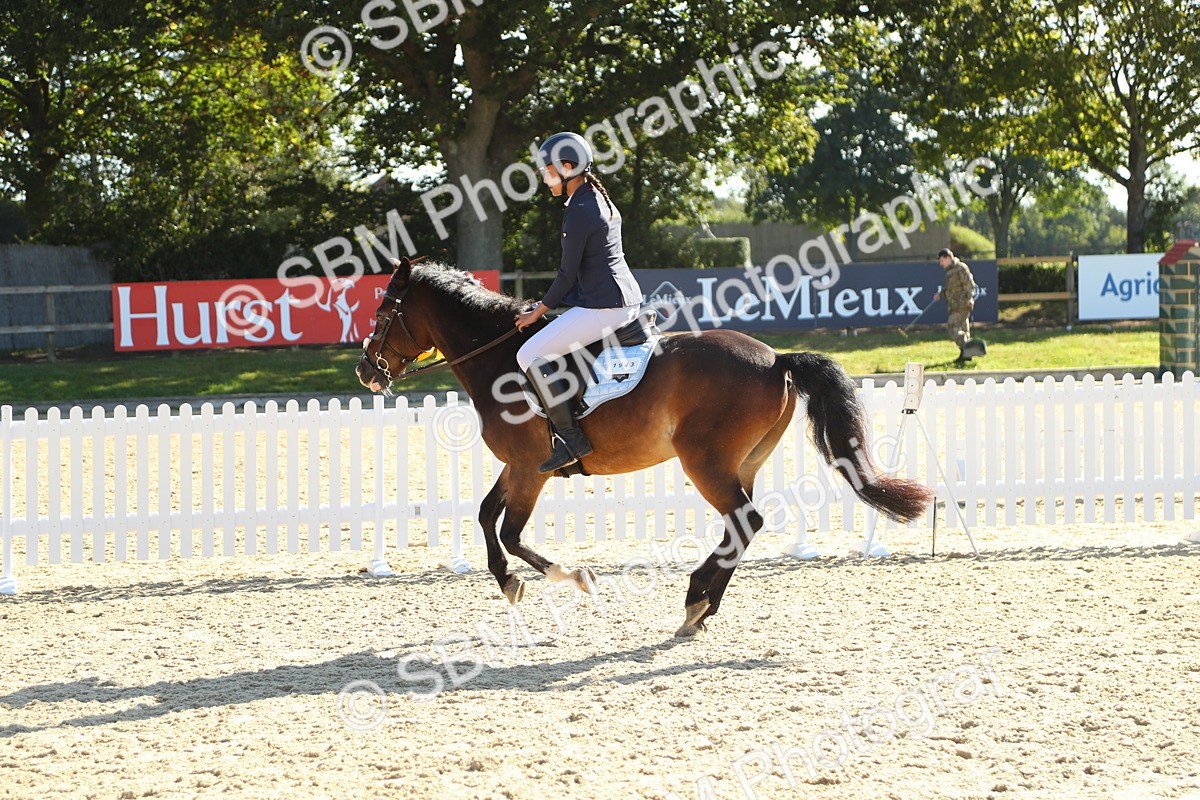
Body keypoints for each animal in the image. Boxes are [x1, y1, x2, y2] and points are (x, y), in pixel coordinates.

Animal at [357, 257, 933, 636]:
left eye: (384, 313)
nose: (366, 372)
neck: (498, 358)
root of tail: (775, 359)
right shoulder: (521, 468)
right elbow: (484, 515)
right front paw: (510, 581)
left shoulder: (529, 468)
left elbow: (511, 532)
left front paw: (569, 578)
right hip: (742, 462)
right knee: (741, 527)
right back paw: (701, 609)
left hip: (705, 462)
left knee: (744, 521)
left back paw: (695, 598)